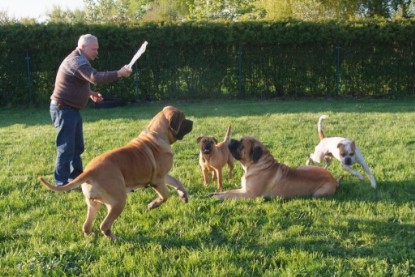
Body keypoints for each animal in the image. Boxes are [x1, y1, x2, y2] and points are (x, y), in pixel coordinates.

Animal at [39, 105, 194, 239]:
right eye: (183, 119)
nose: (192, 121)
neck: (157, 134)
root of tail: (89, 172)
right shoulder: (157, 180)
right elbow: (166, 195)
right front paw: (153, 204)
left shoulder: (164, 176)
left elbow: (177, 182)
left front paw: (183, 195)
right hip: (118, 202)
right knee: (104, 225)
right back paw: (115, 239)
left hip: (94, 204)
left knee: (87, 225)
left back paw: (91, 236)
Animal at [211, 136, 342, 198]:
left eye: (241, 145)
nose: (231, 140)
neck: (257, 164)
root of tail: (334, 179)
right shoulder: (243, 189)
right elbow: (229, 191)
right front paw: (215, 193)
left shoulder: (249, 194)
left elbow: (230, 195)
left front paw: (218, 197)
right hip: (302, 167)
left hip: (318, 194)